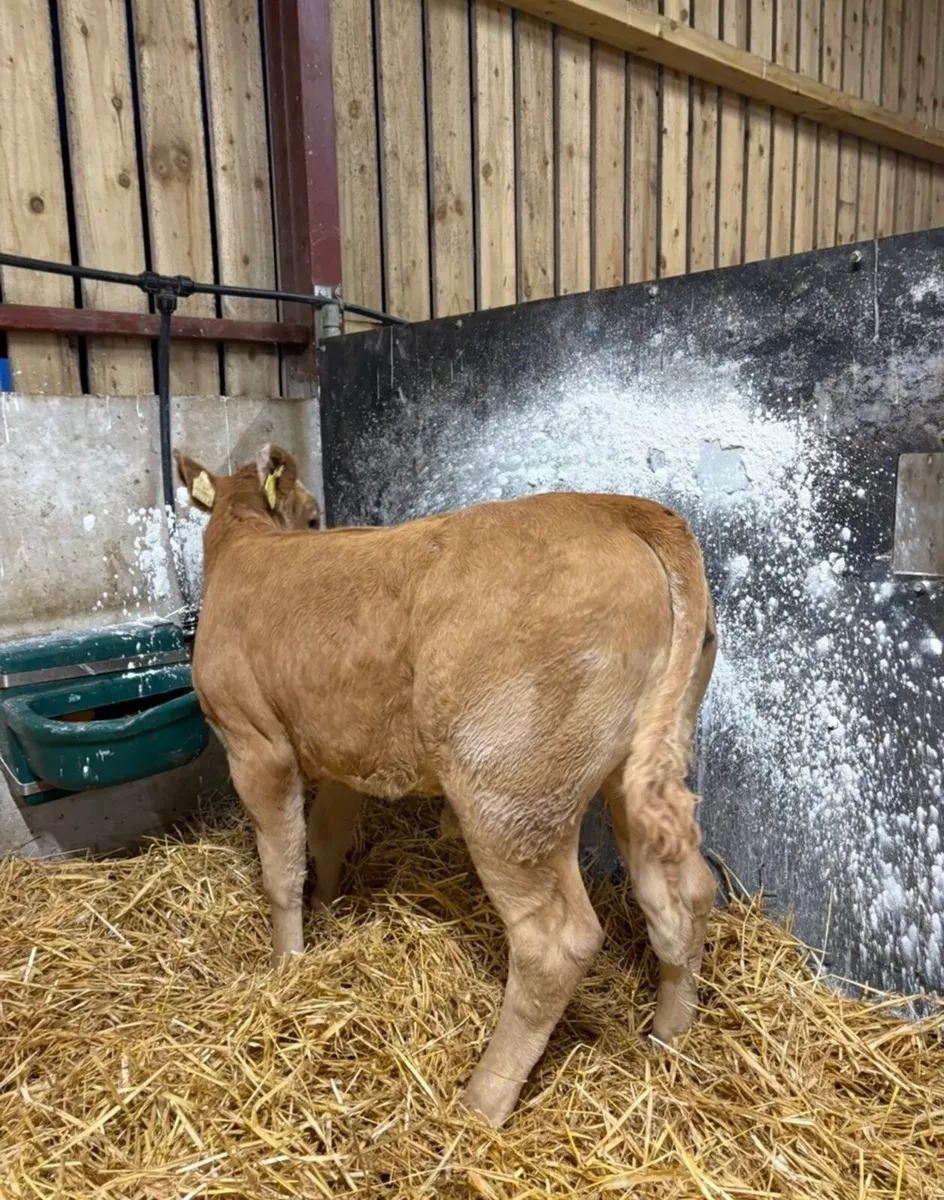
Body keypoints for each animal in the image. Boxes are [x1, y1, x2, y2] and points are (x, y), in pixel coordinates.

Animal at [175, 443, 718, 1128]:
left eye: (313, 516)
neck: (244, 538)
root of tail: (617, 508)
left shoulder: (256, 745)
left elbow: (281, 869)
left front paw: (286, 965)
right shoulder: (343, 747)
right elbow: (324, 837)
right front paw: (329, 909)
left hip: (510, 788)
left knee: (556, 944)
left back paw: (481, 1103)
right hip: (638, 766)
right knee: (682, 891)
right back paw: (671, 1035)